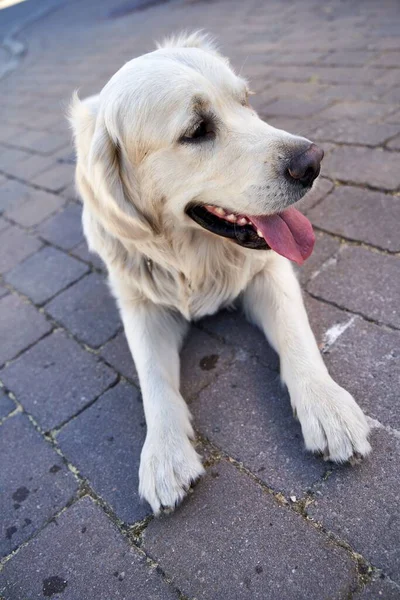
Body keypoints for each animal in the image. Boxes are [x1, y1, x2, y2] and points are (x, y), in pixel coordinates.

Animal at [69, 31, 372, 516]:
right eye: (196, 131)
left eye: (245, 100)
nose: (313, 161)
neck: (196, 257)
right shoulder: (139, 302)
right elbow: (153, 378)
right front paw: (164, 455)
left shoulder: (270, 270)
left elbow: (296, 337)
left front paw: (327, 406)